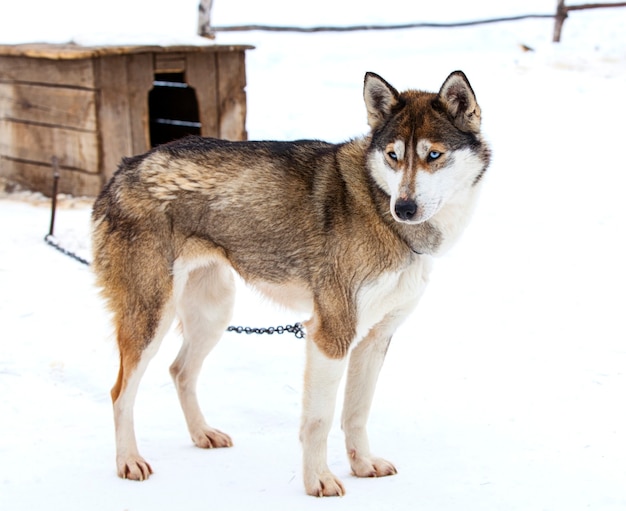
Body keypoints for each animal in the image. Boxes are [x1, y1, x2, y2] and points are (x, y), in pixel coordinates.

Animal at [92, 70, 490, 498]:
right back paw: (128, 460)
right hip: (152, 318)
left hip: (213, 313)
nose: (404, 208)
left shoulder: (374, 339)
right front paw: (319, 480)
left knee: (180, 371)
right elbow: (319, 420)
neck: (379, 209)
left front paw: (363, 465)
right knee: (119, 393)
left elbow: (357, 413)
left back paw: (202, 434)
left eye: (433, 155)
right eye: (393, 156)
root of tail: (124, 168)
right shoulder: (331, 336)